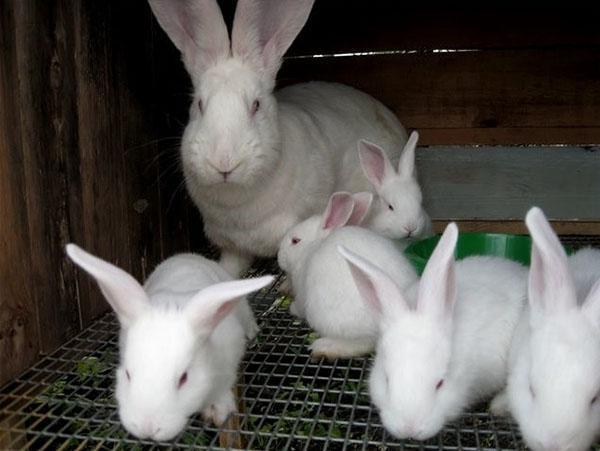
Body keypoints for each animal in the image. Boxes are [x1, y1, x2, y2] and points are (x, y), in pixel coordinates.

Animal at [148, 0, 408, 278]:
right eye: (199, 104)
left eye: (256, 105)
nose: (223, 163)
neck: (236, 202)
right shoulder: (231, 245)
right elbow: (230, 266)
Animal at [276, 192, 418, 358]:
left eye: (295, 240)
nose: (279, 257)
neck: (314, 246)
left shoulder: (302, 292)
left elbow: (299, 306)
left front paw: (292, 308)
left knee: (364, 343)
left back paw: (325, 347)